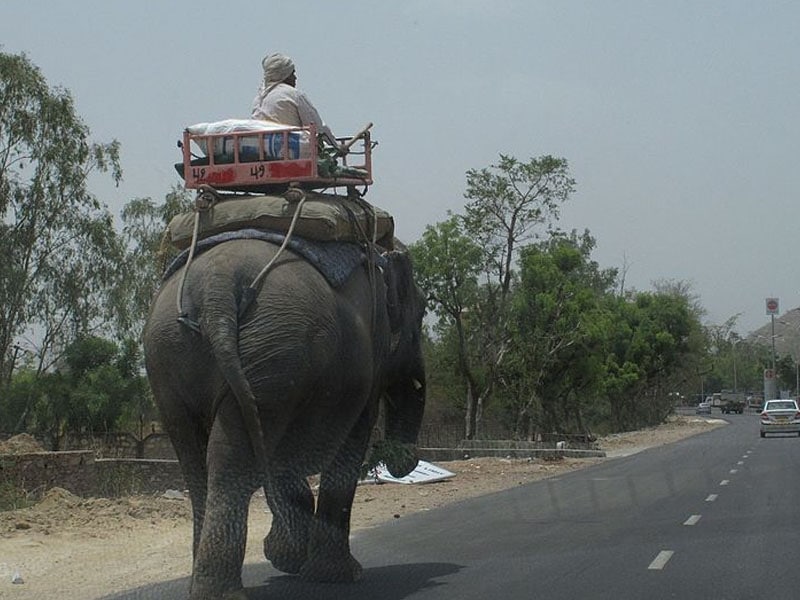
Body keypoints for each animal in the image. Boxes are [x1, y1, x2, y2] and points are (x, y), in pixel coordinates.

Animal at [142, 234, 424, 600]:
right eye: (422, 314)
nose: (402, 460)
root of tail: (217, 284)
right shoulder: (365, 369)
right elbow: (350, 439)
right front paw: (335, 575)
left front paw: (288, 558)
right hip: (273, 353)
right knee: (236, 457)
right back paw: (224, 593)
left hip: (181, 353)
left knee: (202, 461)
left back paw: (205, 587)